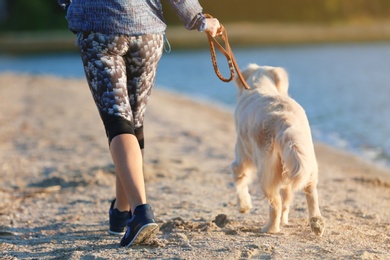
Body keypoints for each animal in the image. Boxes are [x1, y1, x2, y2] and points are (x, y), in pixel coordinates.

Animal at [233, 63, 324, 236]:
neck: (261, 85)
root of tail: (284, 119)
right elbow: (287, 196)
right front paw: (284, 220)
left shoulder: (241, 155)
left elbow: (240, 180)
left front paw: (244, 206)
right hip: (306, 161)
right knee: (310, 194)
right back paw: (317, 224)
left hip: (266, 171)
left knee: (275, 203)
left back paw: (270, 228)